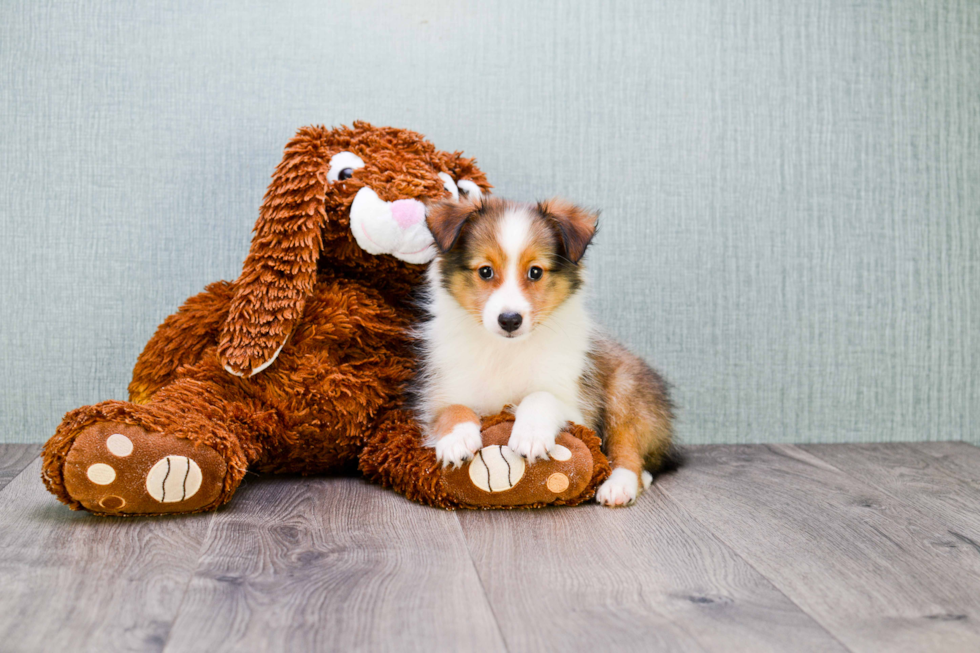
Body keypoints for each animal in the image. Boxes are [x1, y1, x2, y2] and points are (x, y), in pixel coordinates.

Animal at [414, 196, 672, 506]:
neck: (507, 349)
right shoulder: (441, 392)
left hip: (627, 392)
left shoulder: (577, 405)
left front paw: (531, 434)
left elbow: (541, 395)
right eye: (485, 271)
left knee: (630, 449)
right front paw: (457, 439)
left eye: (535, 271)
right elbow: (452, 409)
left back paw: (619, 487)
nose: (509, 320)